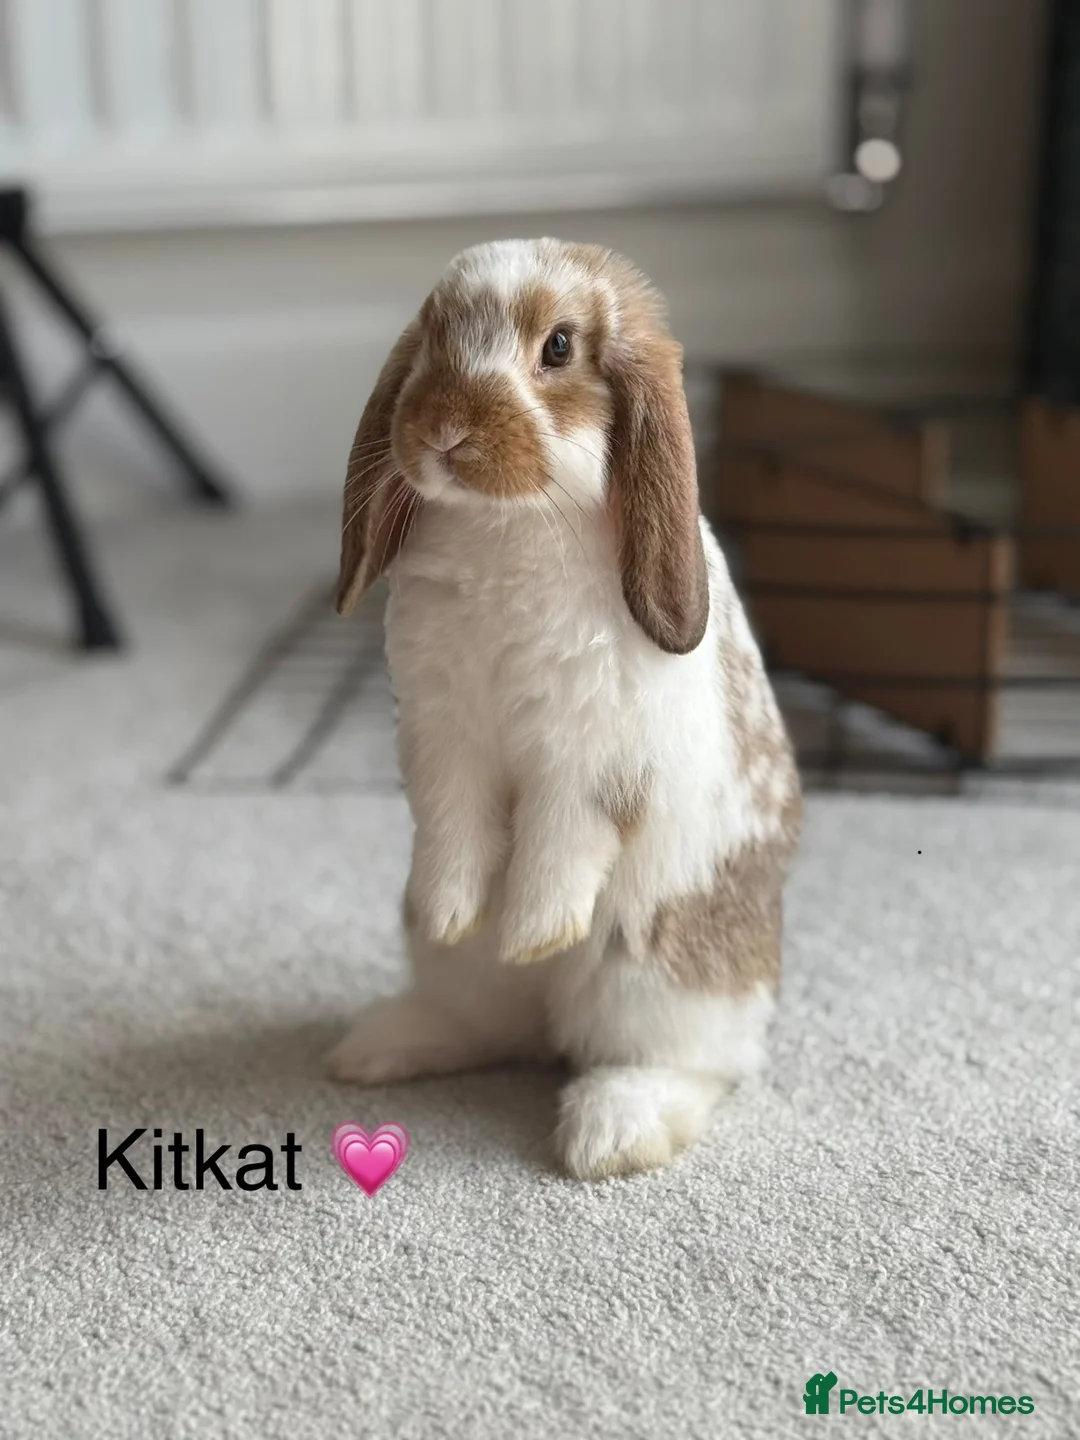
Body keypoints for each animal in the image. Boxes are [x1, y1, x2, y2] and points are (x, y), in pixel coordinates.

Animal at [328, 238, 801, 1179]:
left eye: (558, 347)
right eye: (432, 336)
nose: (445, 431)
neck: (510, 525)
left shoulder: (590, 759)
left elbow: (561, 844)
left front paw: (532, 931)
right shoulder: (444, 741)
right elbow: (455, 830)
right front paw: (456, 912)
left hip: (659, 977)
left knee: (686, 1064)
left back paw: (610, 1131)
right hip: (463, 979)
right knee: (485, 1025)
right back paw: (378, 1044)